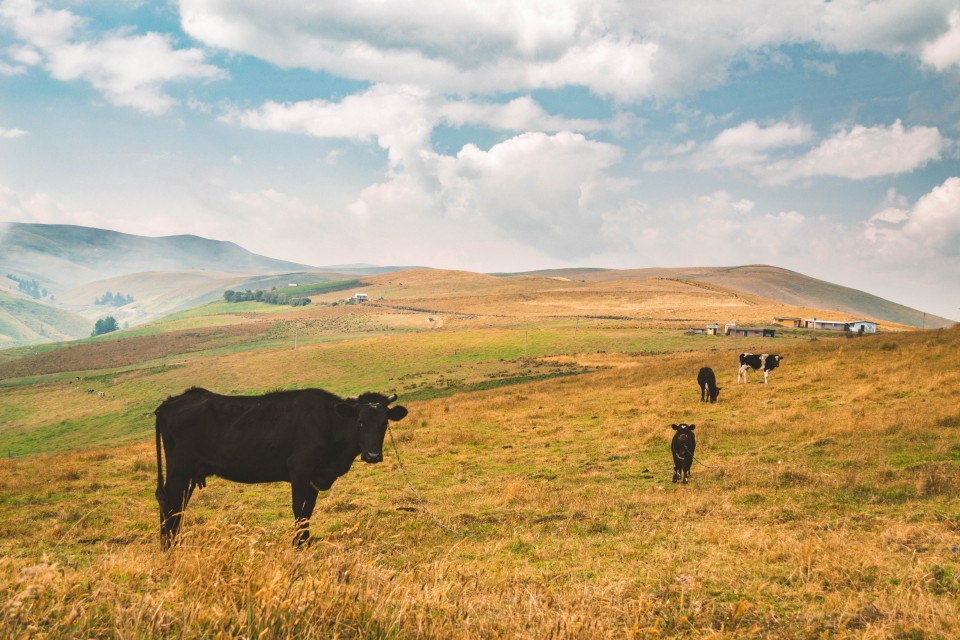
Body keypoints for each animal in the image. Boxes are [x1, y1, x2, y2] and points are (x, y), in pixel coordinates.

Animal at [152, 384, 406, 552]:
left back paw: (174, 542)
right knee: (170, 503)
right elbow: (298, 509)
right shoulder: (300, 470)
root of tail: (169, 403)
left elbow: (308, 511)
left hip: (189, 474)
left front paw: (305, 541)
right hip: (179, 470)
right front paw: (298, 545)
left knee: (177, 505)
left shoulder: (313, 478)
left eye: (383, 423)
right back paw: (168, 546)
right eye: (360, 422)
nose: (373, 456)